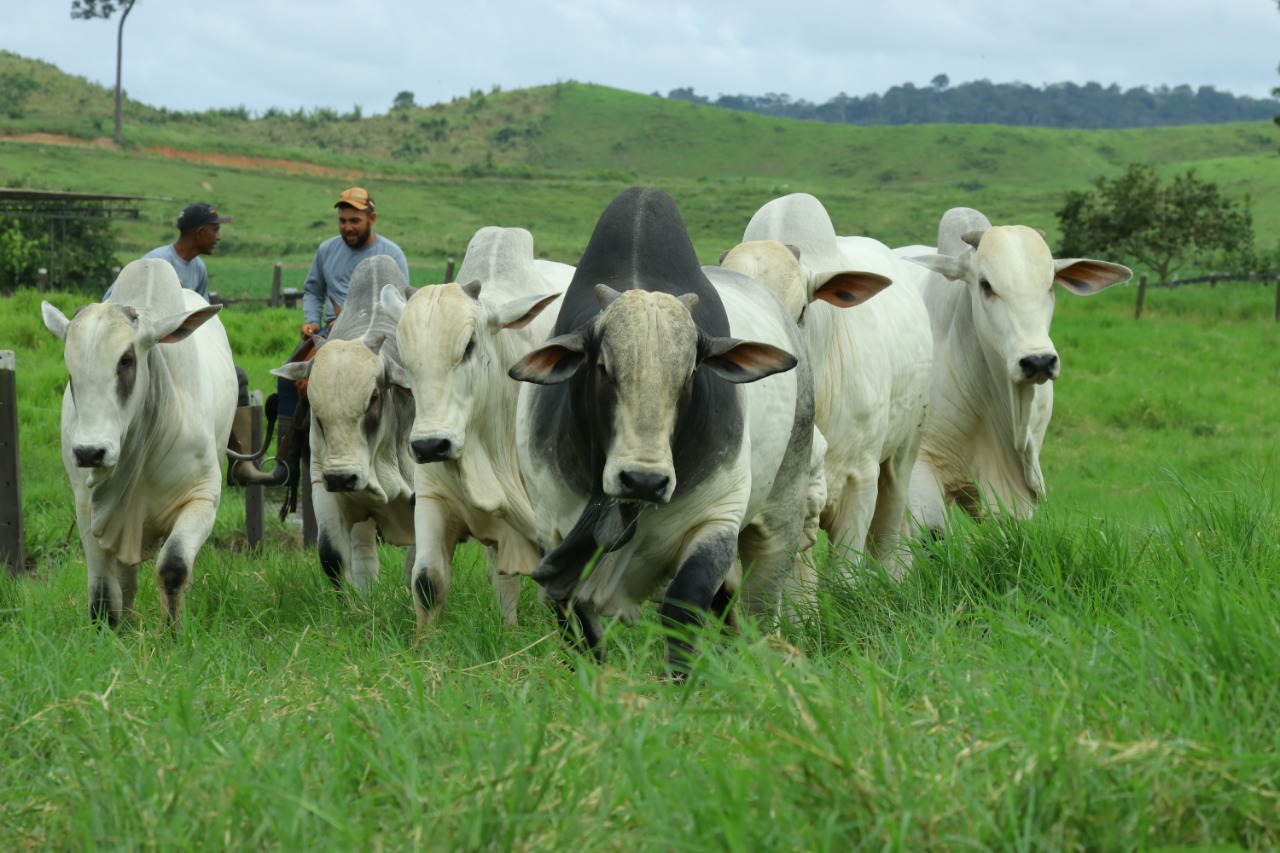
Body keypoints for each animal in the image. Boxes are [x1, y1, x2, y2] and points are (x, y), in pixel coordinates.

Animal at [40, 256, 238, 622]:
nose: (90, 453)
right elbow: (104, 592)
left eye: (126, 360)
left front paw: (173, 629)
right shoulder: (90, 508)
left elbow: (174, 567)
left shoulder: (203, 497)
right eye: (71, 370)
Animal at [270, 256, 414, 594]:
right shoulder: (324, 484)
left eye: (373, 397)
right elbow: (331, 556)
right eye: (312, 404)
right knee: (363, 551)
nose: (343, 477)